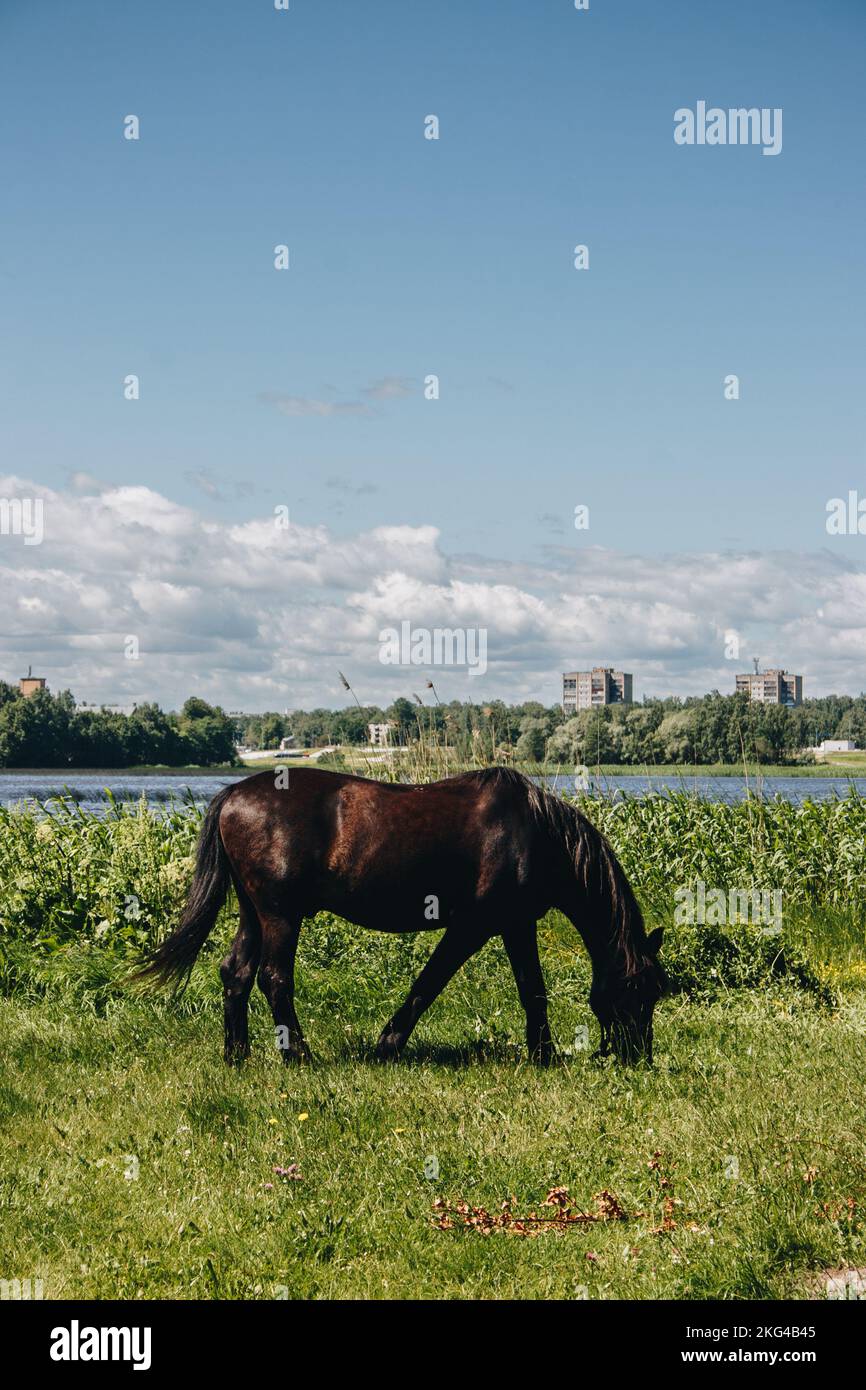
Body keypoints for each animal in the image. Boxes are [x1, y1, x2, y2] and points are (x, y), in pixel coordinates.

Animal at [135, 767, 667, 1067]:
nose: (638, 1057)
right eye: (639, 990)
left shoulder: (514, 924)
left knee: (237, 974)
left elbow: (528, 988)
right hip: (281, 915)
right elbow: (435, 984)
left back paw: (237, 1055)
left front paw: (542, 1053)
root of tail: (231, 795)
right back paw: (299, 1056)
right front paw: (388, 1045)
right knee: (273, 978)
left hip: (253, 912)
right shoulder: (476, 925)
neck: (534, 831)